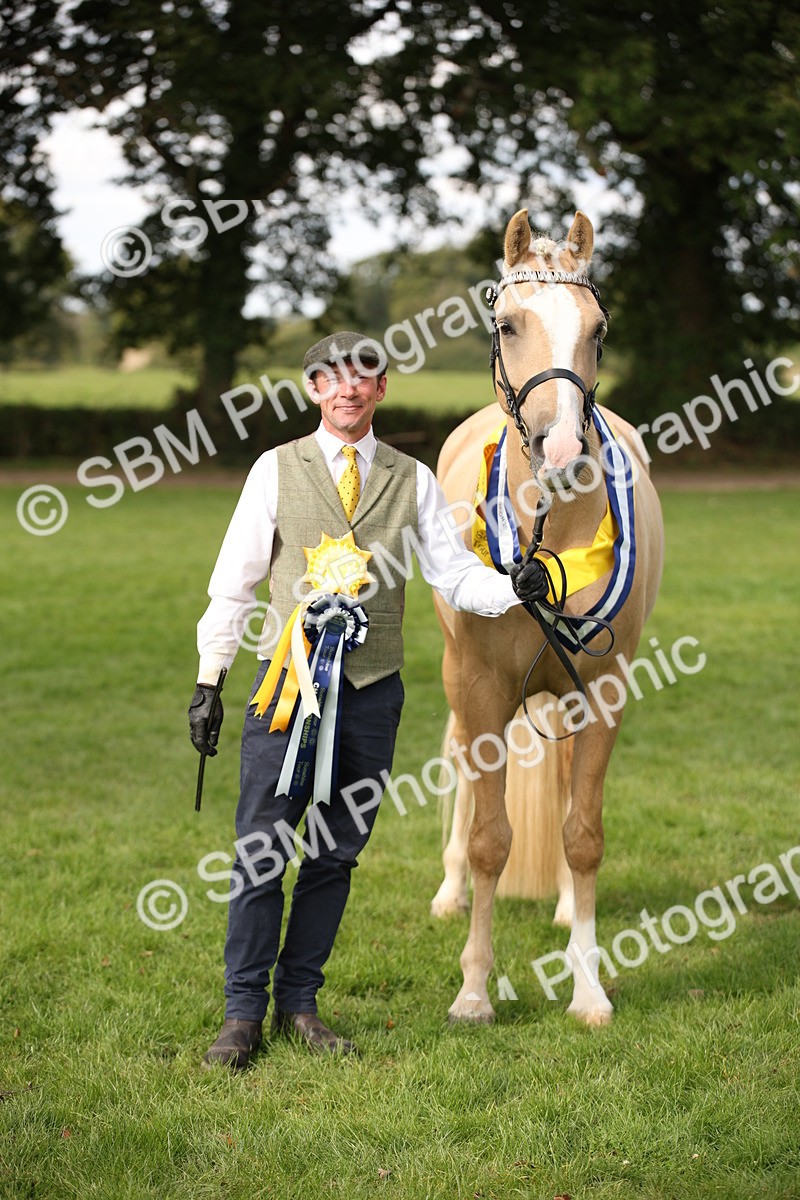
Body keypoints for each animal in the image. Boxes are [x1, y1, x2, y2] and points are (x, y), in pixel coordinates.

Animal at [430, 209, 664, 1026]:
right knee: (460, 775)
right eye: (508, 324)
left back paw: (563, 907)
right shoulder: (479, 690)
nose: (561, 447)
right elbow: (491, 840)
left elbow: (583, 832)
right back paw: (447, 891)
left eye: (598, 329)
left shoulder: (602, 691)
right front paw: (473, 990)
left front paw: (589, 987)